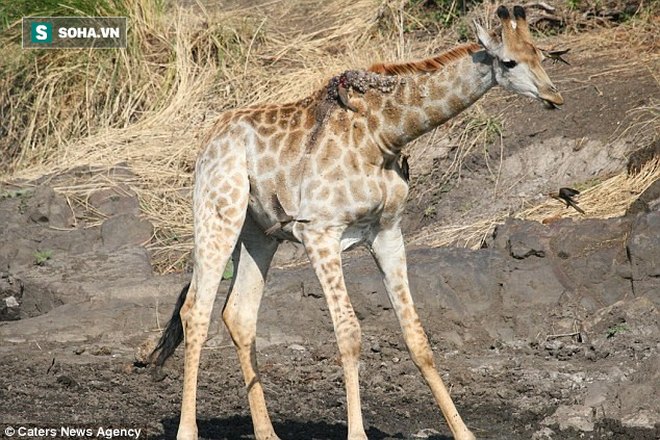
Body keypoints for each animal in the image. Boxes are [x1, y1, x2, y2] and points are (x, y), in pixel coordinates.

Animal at [152, 6, 564, 440]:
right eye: (510, 61)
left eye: (541, 53)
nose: (554, 96)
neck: (383, 135)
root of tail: (209, 139)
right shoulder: (318, 231)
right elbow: (349, 334)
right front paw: (357, 432)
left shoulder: (388, 233)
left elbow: (416, 336)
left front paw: (463, 431)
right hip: (218, 212)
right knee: (195, 310)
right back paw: (187, 430)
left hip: (258, 232)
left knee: (239, 314)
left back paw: (267, 432)